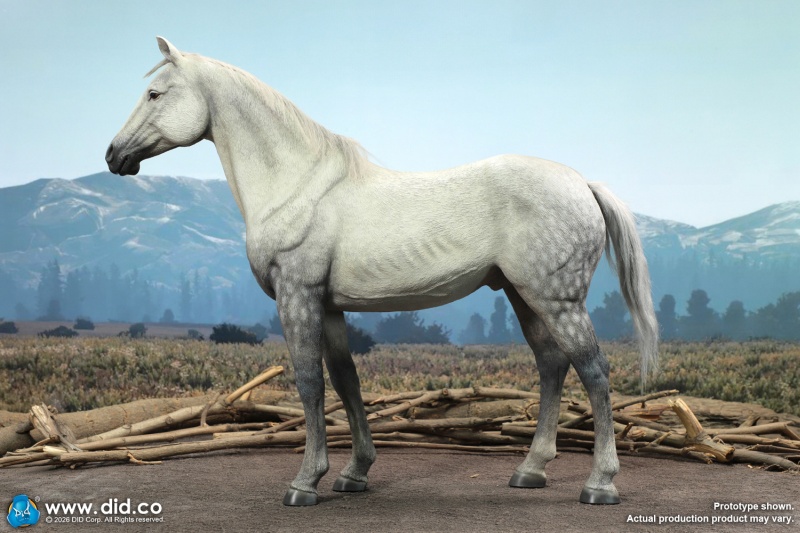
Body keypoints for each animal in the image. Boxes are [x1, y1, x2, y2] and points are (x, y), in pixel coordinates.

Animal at [106, 37, 658, 507]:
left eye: (155, 93)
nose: (114, 155)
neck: (298, 185)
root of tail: (583, 184)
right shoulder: (329, 307)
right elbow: (347, 382)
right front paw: (354, 474)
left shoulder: (297, 296)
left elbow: (309, 382)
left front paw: (305, 483)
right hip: (526, 297)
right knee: (552, 366)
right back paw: (530, 470)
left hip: (557, 301)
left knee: (594, 371)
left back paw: (600, 484)